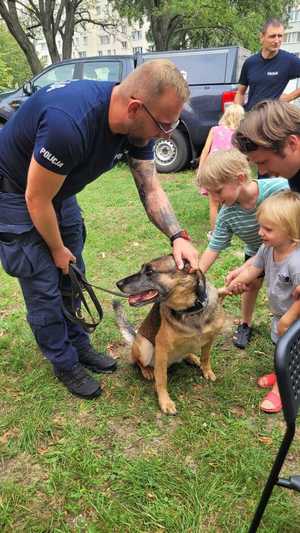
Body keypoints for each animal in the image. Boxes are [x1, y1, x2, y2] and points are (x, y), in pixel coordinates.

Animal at [113, 255, 227, 416]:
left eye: (149, 271)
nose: (118, 284)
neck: (191, 310)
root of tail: (135, 337)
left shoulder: (210, 338)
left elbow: (206, 357)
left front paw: (207, 371)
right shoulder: (162, 347)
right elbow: (161, 378)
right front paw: (165, 402)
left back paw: (192, 357)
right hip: (145, 346)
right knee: (138, 362)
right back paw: (147, 371)